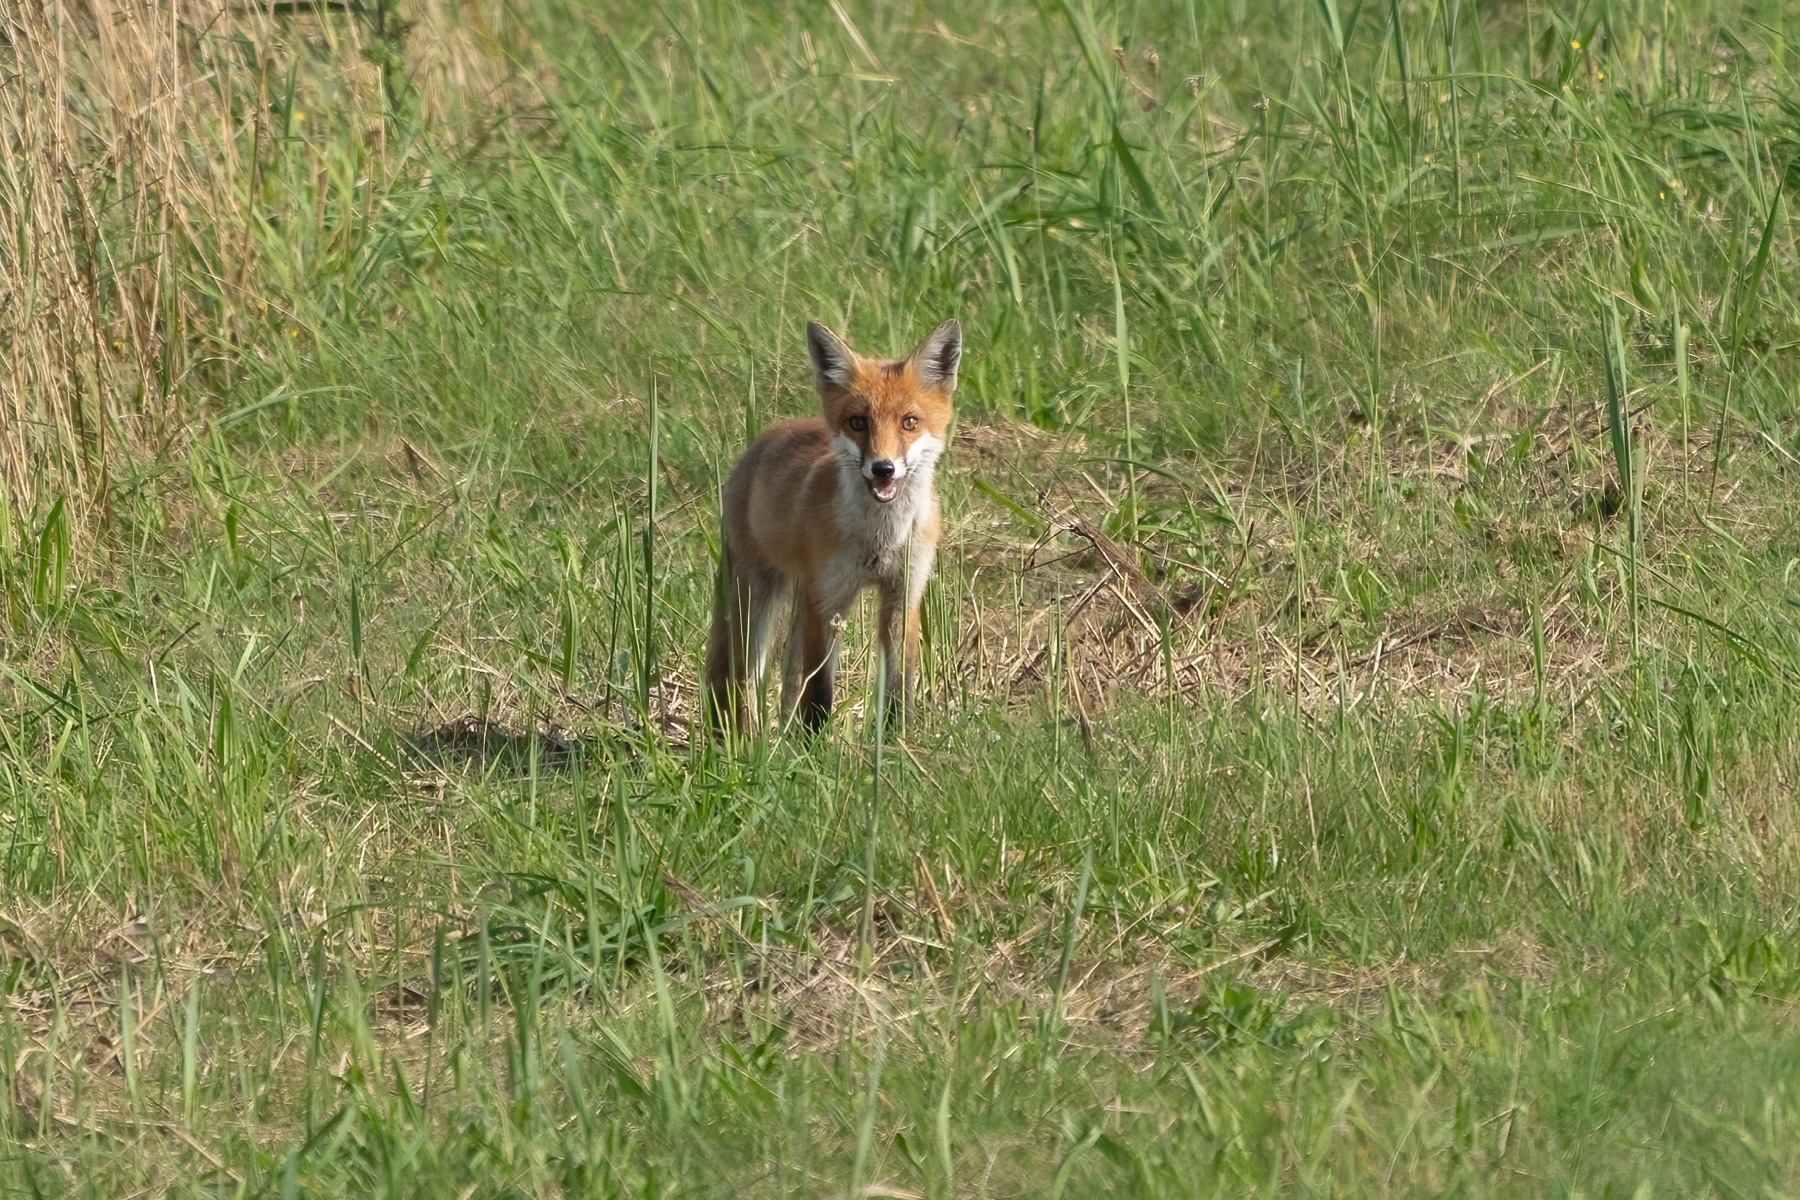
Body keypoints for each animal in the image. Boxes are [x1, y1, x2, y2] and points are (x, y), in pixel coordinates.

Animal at [704, 318, 962, 736]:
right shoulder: (828, 602)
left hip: (798, 600)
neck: (880, 539)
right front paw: (816, 744)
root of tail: (766, 437)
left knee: (789, 680)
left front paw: (898, 741)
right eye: (858, 423)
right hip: (756, 599)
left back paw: (781, 737)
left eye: (909, 422)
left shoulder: (902, 596)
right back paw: (745, 739)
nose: (883, 468)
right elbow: (821, 690)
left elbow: (899, 686)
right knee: (744, 678)